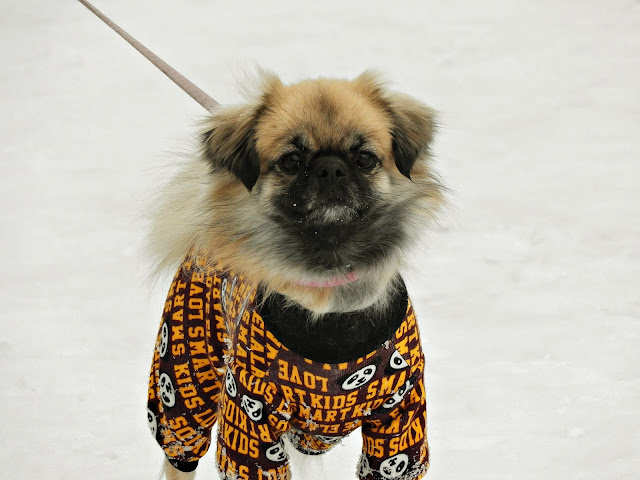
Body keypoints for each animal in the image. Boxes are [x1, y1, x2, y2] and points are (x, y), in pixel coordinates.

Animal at [146, 71, 444, 480]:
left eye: (365, 158)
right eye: (290, 160)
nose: (330, 168)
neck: (329, 281)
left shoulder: (400, 424)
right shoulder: (249, 420)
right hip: (183, 382)